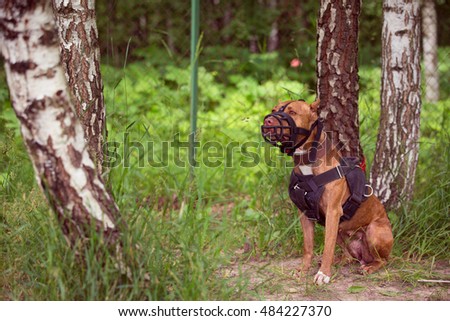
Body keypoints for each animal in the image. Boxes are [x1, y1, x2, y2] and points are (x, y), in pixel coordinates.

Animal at [262, 99, 392, 284]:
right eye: (273, 110)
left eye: (292, 112)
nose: (268, 121)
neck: (307, 161)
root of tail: (363, 257)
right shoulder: (305, 214)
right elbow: (308, 247)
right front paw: (303, 270)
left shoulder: (332, 212)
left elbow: (327, 247)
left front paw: (324, 274)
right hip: (341, 231)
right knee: (349, 256)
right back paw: (341, 260)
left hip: (373, 231)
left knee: (383, 260)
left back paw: (369, 267)